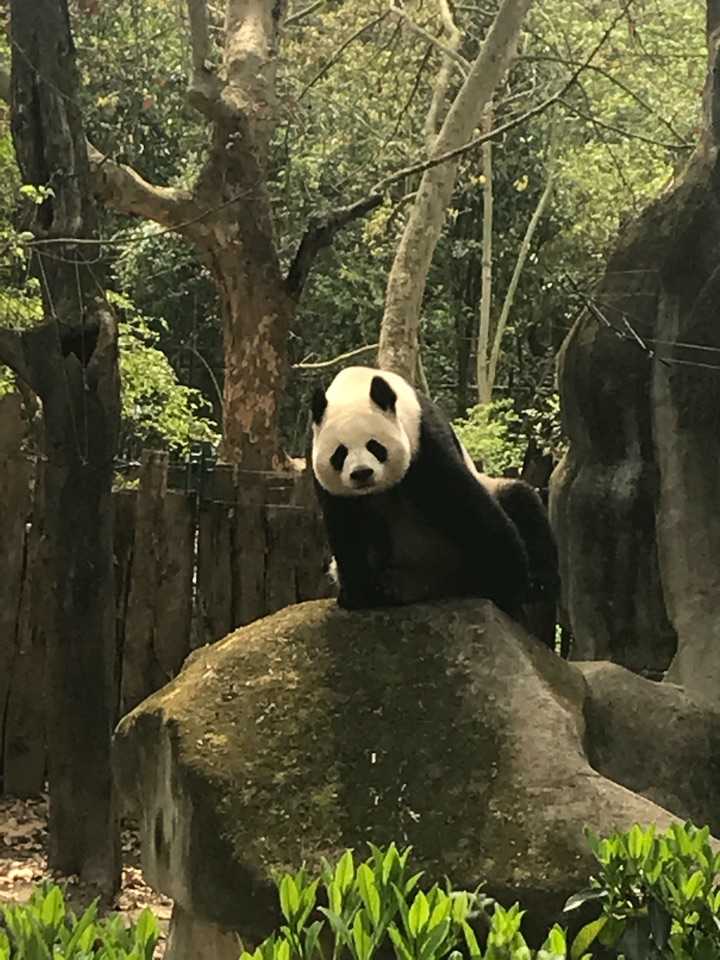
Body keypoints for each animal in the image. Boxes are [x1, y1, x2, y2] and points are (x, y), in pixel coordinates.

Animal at [306, 368, 532, 624]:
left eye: (375, 446)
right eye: (340, 453)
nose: (362, 473)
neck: (356, 386)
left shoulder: (423, 439)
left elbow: (463, 504)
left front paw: (506, 583)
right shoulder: (324, 476)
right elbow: (346, 527)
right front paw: (357, 593)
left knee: (521, 501)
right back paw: (391, 587)